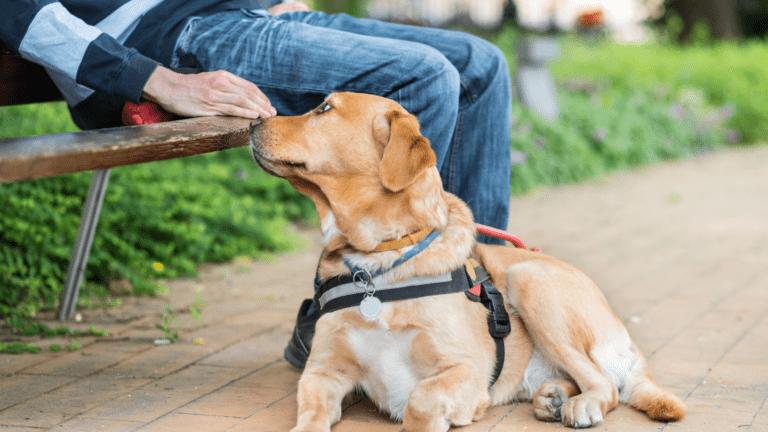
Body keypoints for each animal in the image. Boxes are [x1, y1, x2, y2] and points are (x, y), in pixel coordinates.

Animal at [249, 93, 688, 430]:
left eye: (324, 108)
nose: (253, 120)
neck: (379, 261)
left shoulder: (467, 369)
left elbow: (421, 399)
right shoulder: (322, 373)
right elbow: (309, 416)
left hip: (529, 281)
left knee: (606, 385)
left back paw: (580, 403)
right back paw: (553, 397)